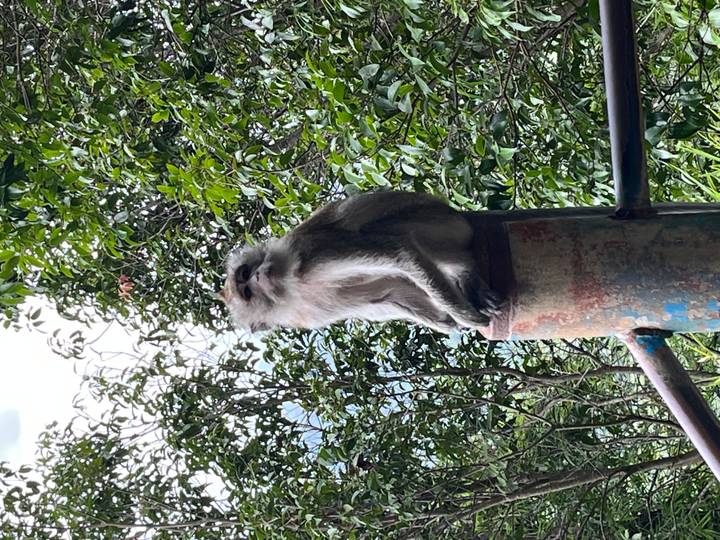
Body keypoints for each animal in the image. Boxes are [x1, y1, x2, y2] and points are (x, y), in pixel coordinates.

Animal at [218, 191, 501, 334]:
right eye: (247, 291)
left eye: (244, 274)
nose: (257, 276)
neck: (291, 286)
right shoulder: (313, 311)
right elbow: (390, 295)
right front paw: (446, 321)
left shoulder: (313, 252)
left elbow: (398, 252)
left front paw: (463, 315)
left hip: (437, 221)